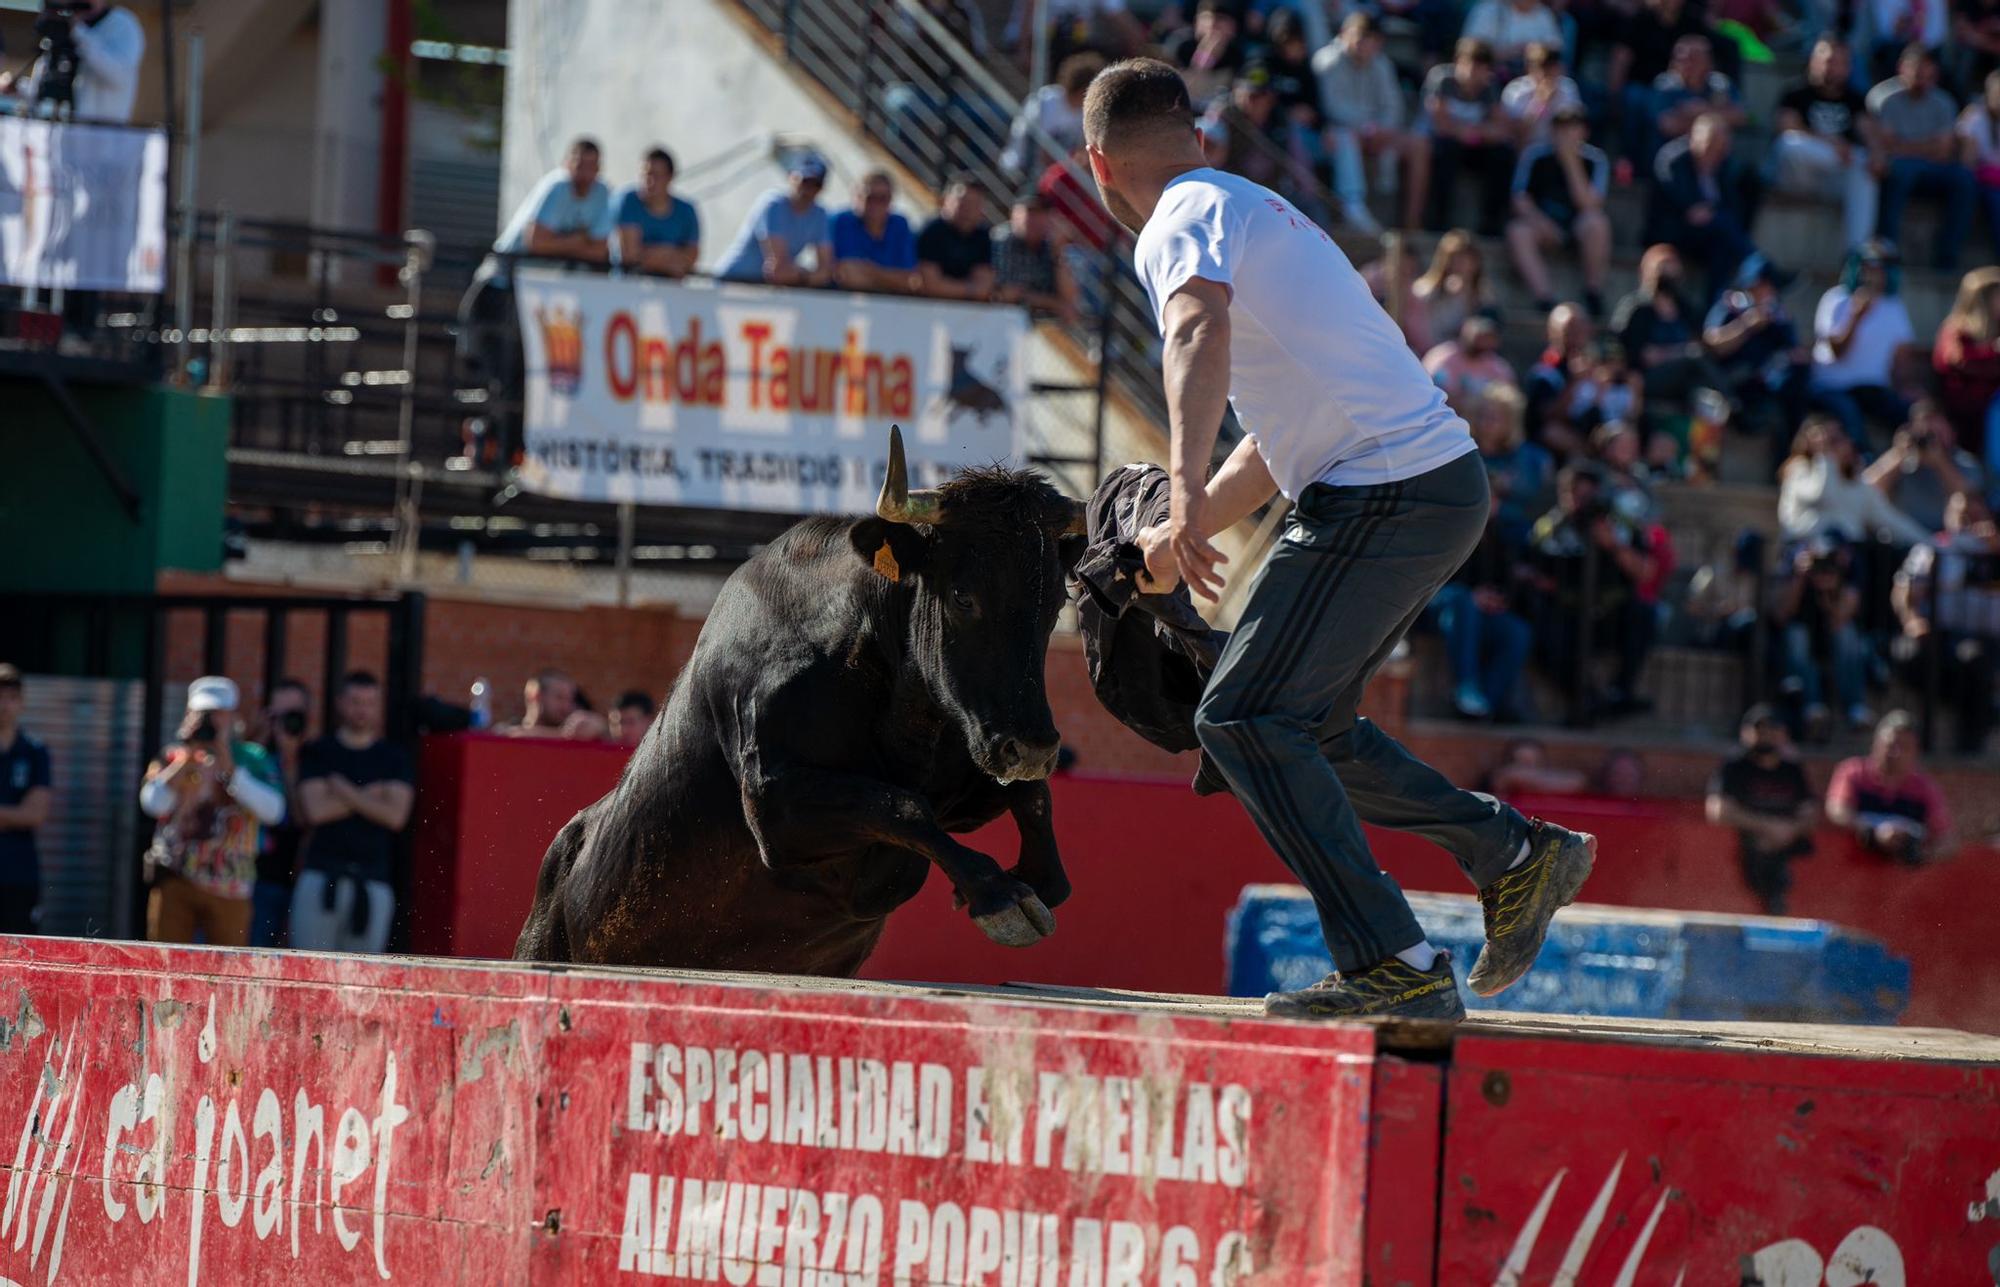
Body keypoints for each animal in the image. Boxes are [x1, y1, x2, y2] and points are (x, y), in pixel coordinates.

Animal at [508, 429, 1088, 975]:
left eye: (1057, 602)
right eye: (963, 596)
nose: (1033, 747)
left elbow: (1031, 798)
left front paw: (1033, 876)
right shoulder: (774, 802)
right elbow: (902, 804)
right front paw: (999, 895)